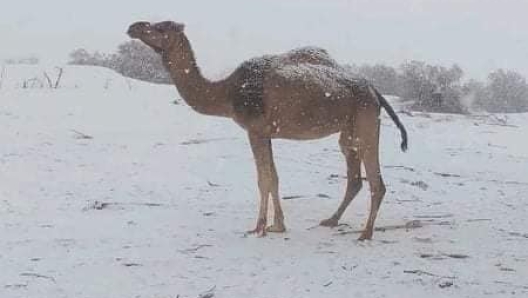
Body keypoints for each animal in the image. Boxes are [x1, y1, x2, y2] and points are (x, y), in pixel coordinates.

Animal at [127, 20, 408, 240]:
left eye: (161, 27)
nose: (134, 26)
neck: (227, 92)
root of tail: (374, 91)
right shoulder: (267, 133)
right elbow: (274, 177)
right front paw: (278, 225)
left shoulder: (255, 130)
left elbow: (264, 179)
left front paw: (260, 227)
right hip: (348, 132)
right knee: (354, 178)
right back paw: (331, 220)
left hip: (366, 122)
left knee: (376, 182)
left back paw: (365, 234)